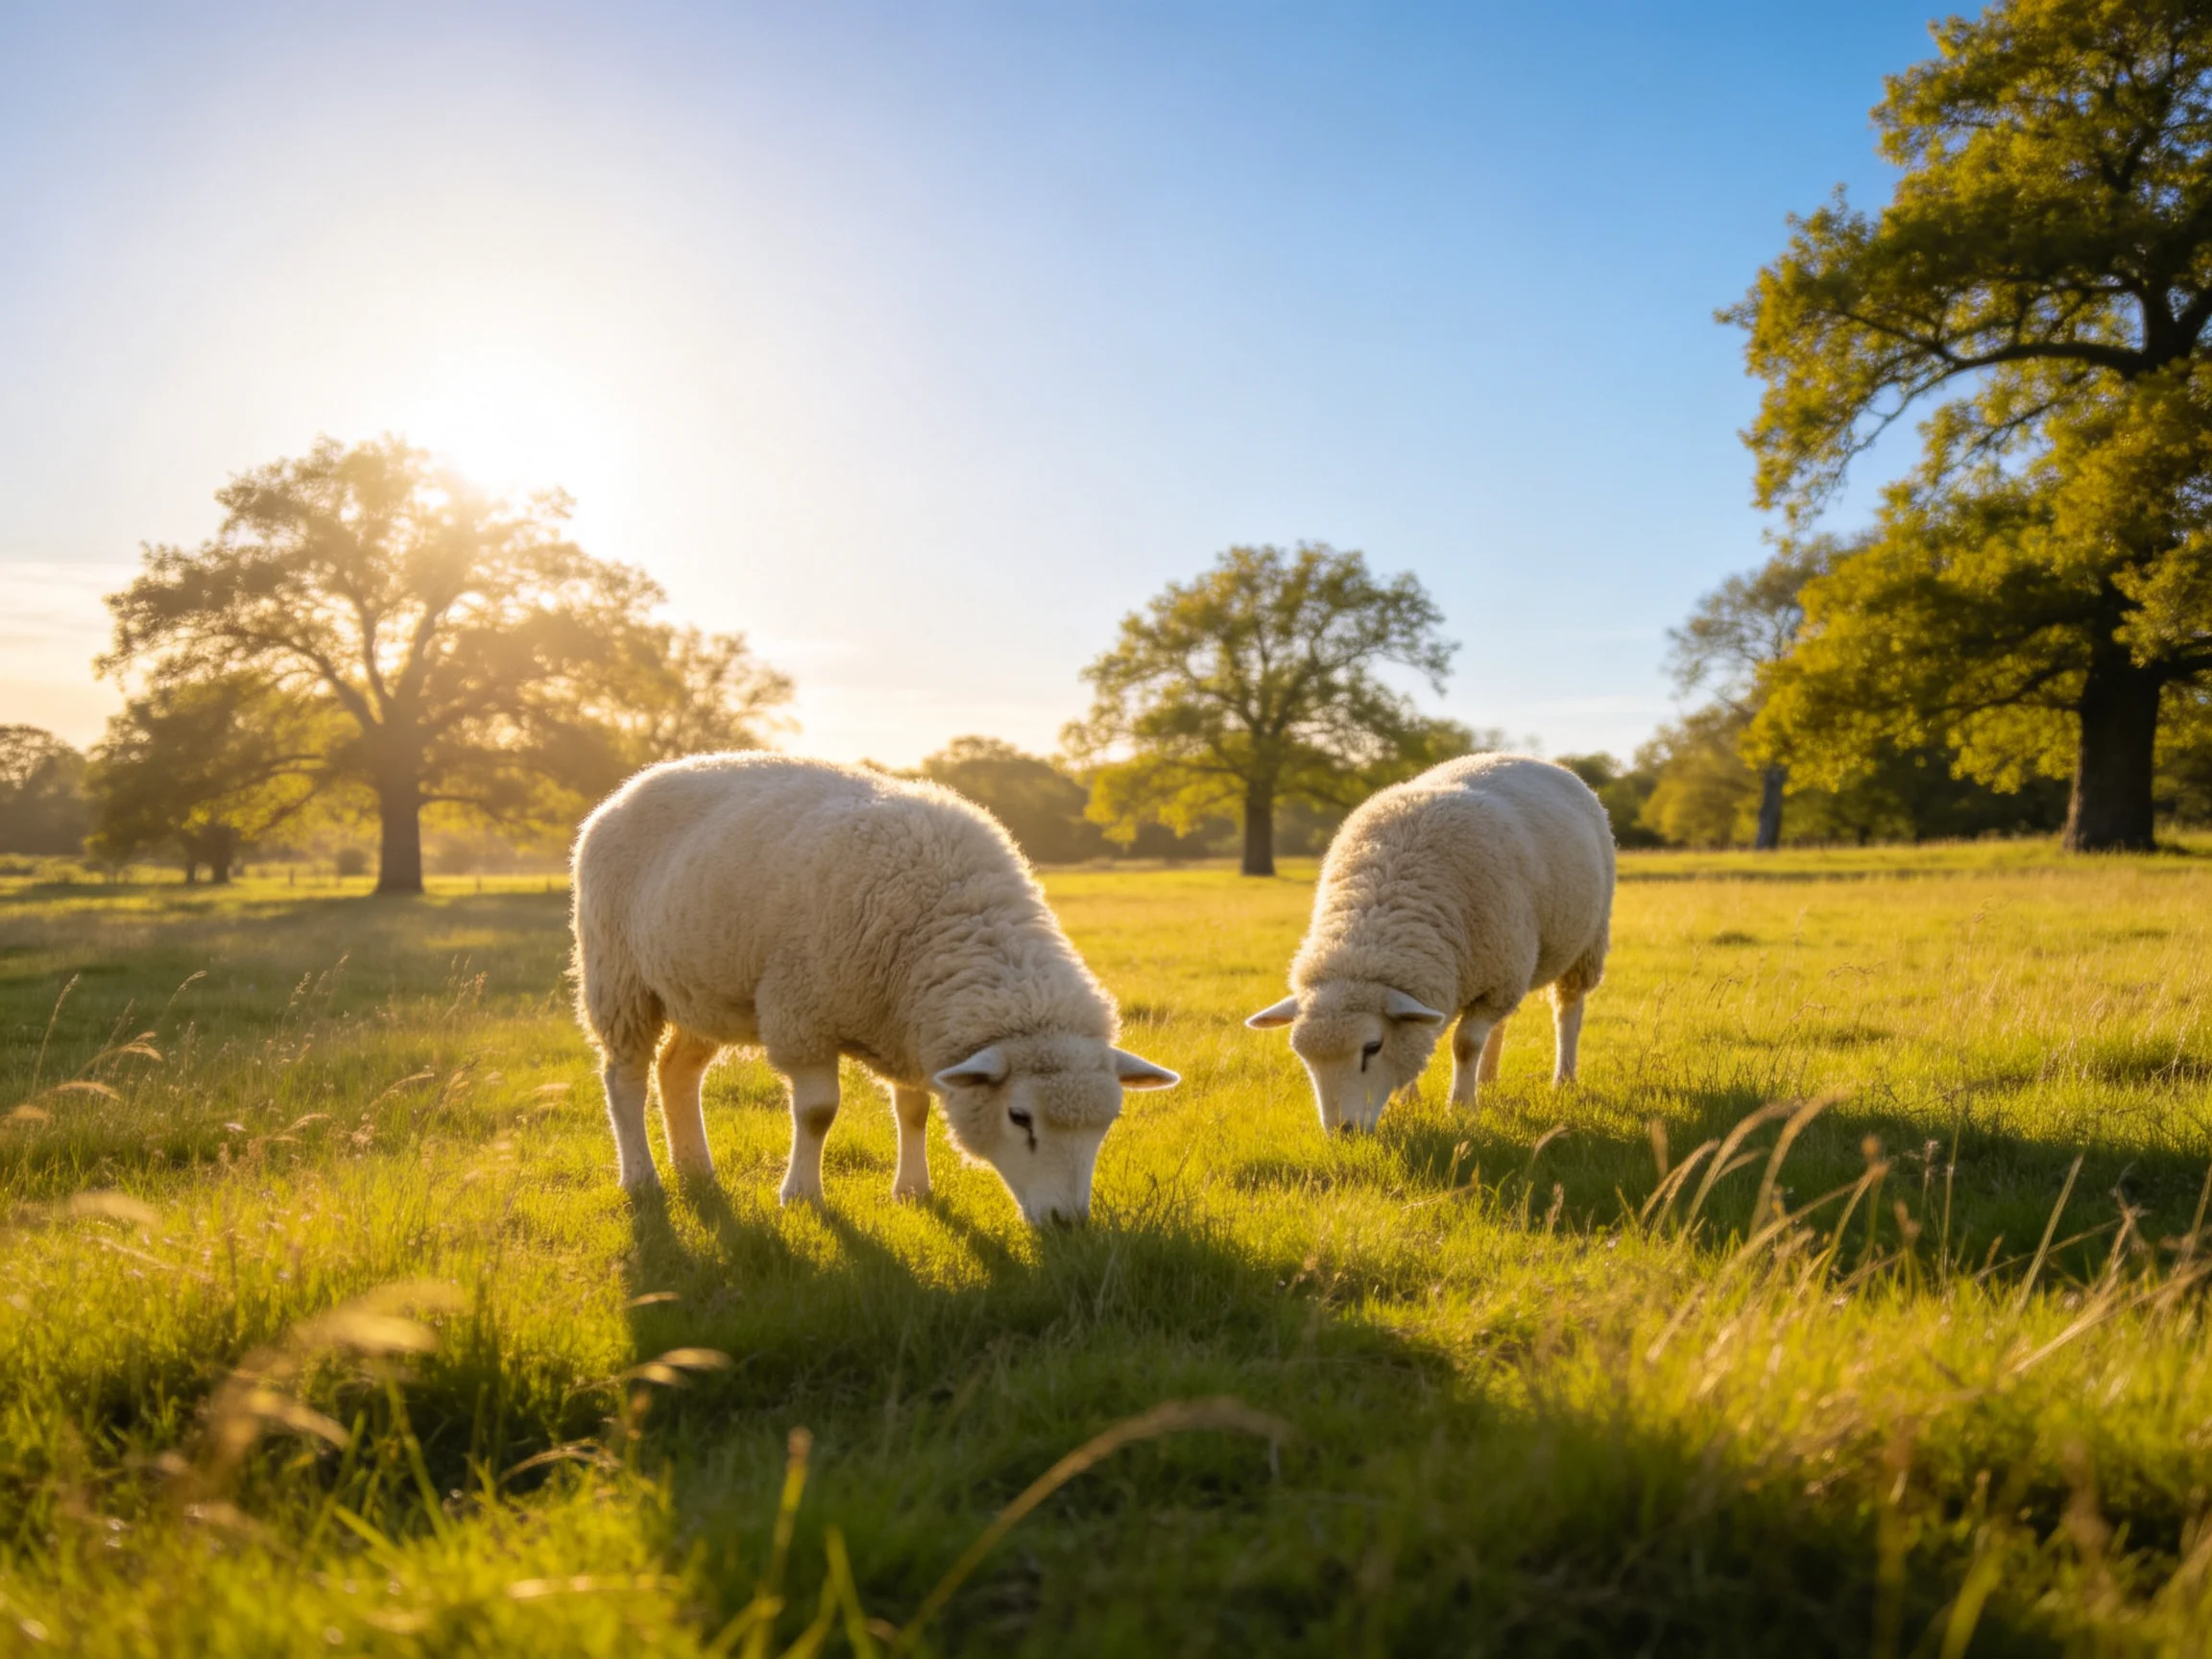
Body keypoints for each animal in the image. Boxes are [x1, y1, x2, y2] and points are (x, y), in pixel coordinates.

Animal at [570, 753, 1178, 1225]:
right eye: (1020, 1118)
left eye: (1108, 1123)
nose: (1067, 1223)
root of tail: (630, 787)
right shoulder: (802, 1013)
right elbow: (818, 1113)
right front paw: (802, 1198)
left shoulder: (905, 1022)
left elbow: (914, 1108)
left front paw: (912, 1191)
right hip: (618, 976)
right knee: (625, 1078)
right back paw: (642, 1178)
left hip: (703, 990)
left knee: (677, 1071)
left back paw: (697, 1169)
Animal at [1246, 753, 1614, 1132]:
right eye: (1303, 1055)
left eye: (1372, 1047)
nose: (1344, 1132)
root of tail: (1530, 759)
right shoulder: (1479, 978)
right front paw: (1410, 1102)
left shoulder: (1495, 980)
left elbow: (1465, 1045)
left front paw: (1461, 1107)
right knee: (1502, 1022)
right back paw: (1488, 1079)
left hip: (1583, 945)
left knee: (1567, 1010)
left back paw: (1563, 1079)